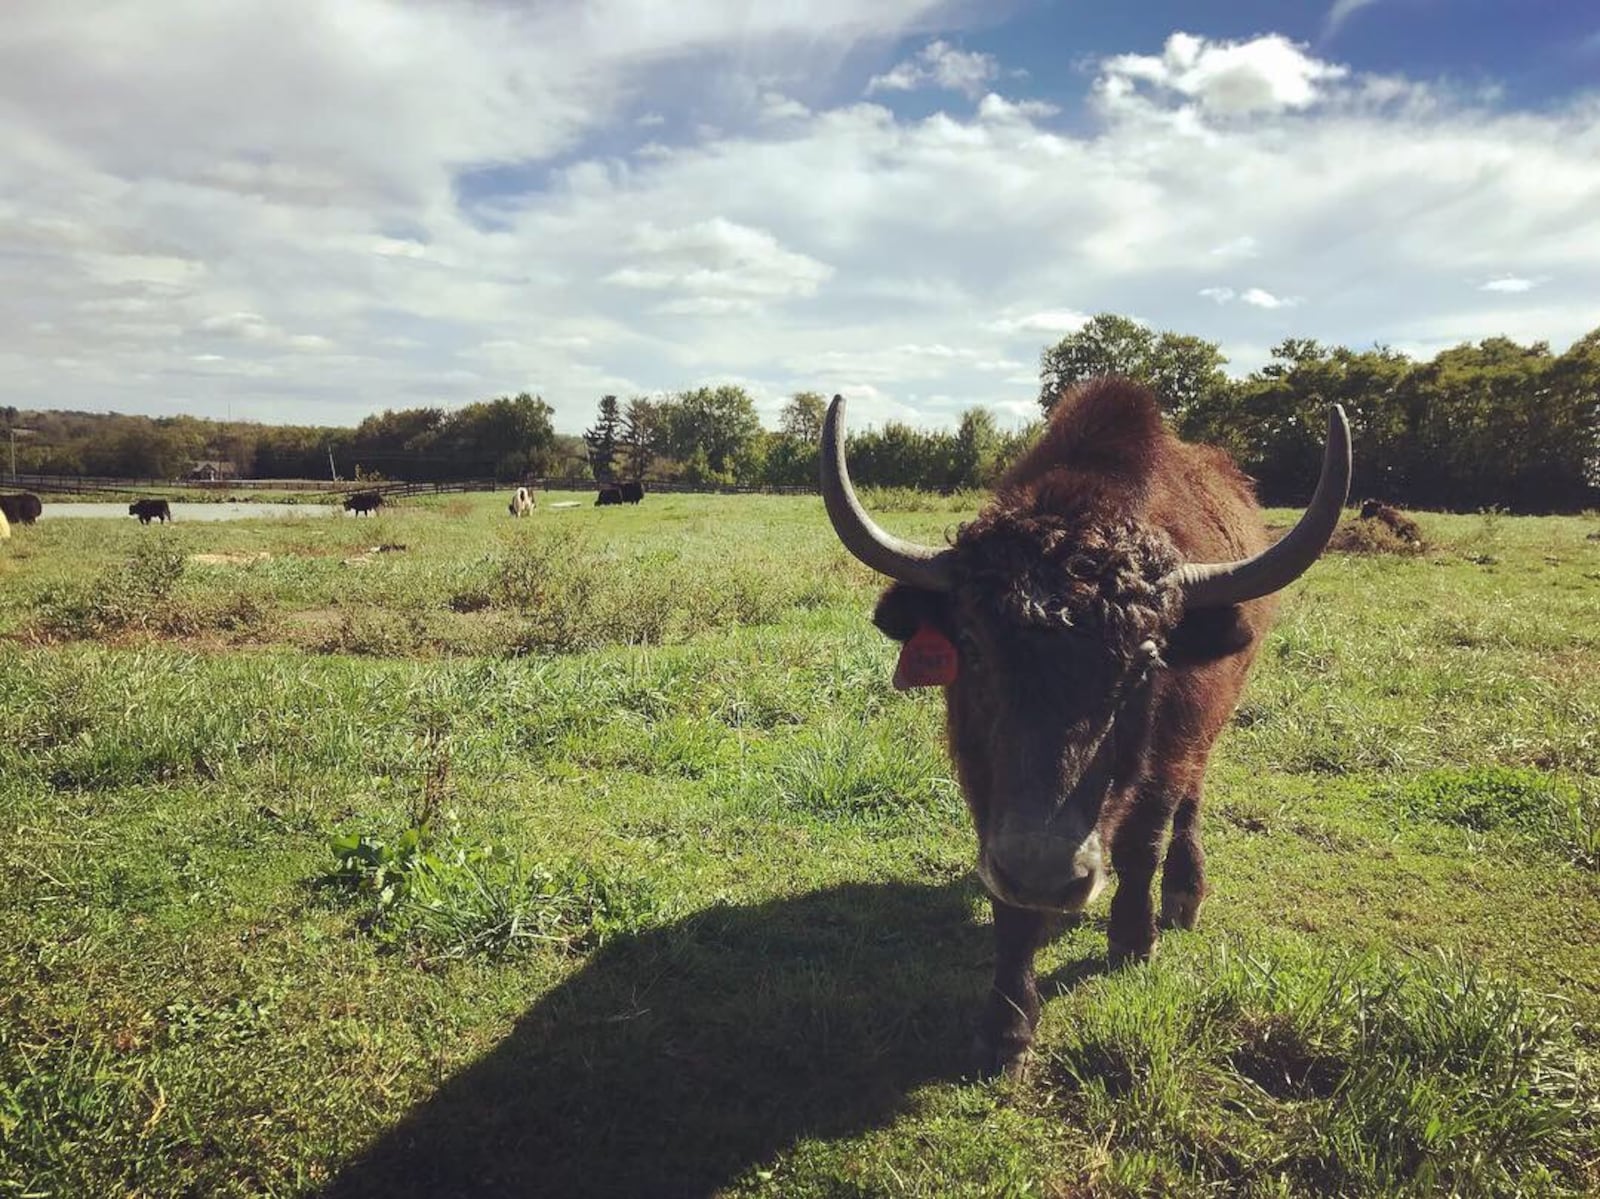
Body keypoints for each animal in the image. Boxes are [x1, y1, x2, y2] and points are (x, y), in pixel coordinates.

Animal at [819, 379, 1344, 1069]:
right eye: (973, 646)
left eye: (1146, 660)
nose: (1049, 874)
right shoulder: (989, 793)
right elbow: (1006, 897)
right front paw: (1007, 1029)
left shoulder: (1165, 757)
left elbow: (1142, 844)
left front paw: (1134, 939)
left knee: (1190, 802)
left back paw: (1184, 895)